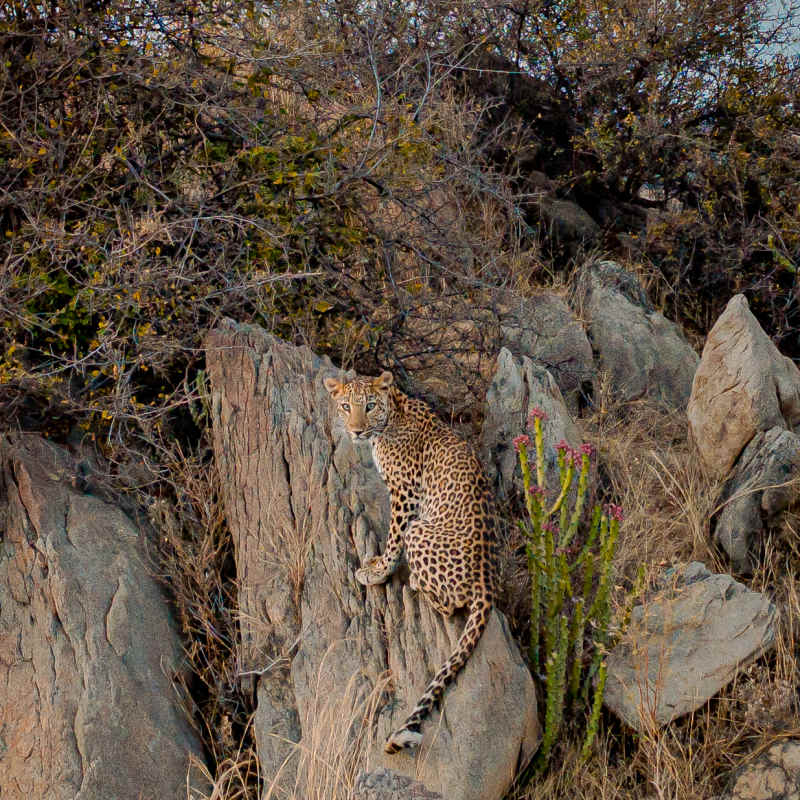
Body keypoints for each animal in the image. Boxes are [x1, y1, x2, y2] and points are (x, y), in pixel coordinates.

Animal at [324, 369, 497, 755]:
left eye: (369, 406)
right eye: (346, 406)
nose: (356, 431)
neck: (393, 412)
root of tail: (488, 582)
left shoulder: (405, 493)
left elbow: (392, 538)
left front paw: (376, 572)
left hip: (421, 531)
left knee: (449, 604)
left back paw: (417, 582)